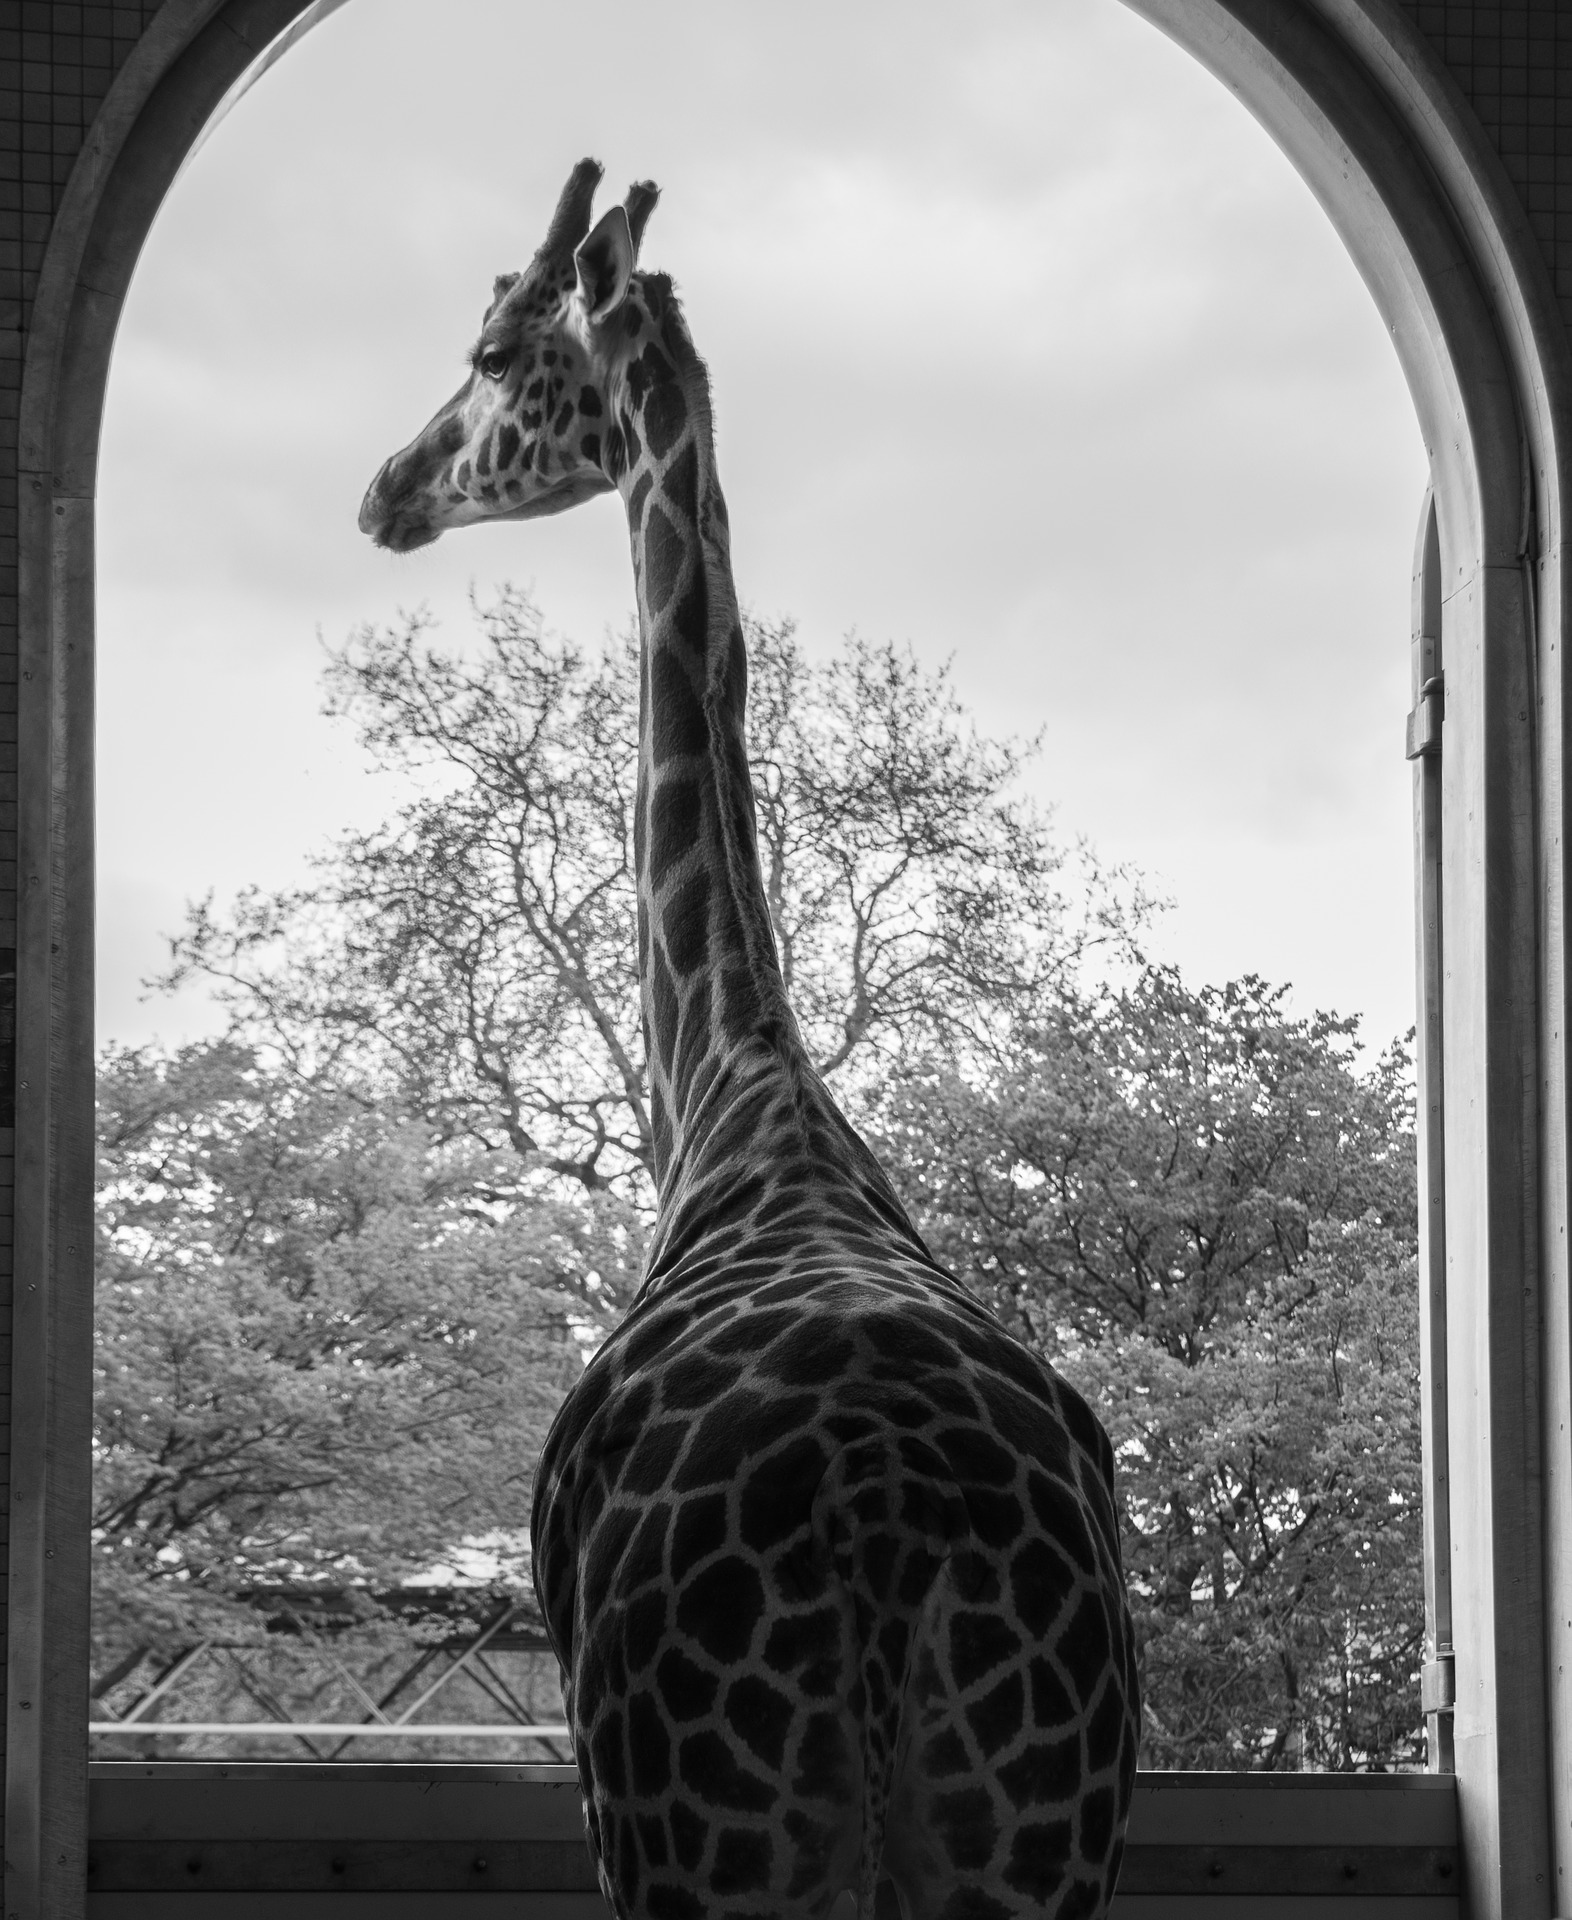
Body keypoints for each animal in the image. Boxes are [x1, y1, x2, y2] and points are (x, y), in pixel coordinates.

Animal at [360, 157, 1136, 1912]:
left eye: (492, 351)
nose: (385, 490)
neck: (743, 1086)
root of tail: (888, 1520)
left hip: (696, 1841)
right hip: (1034, 1844)